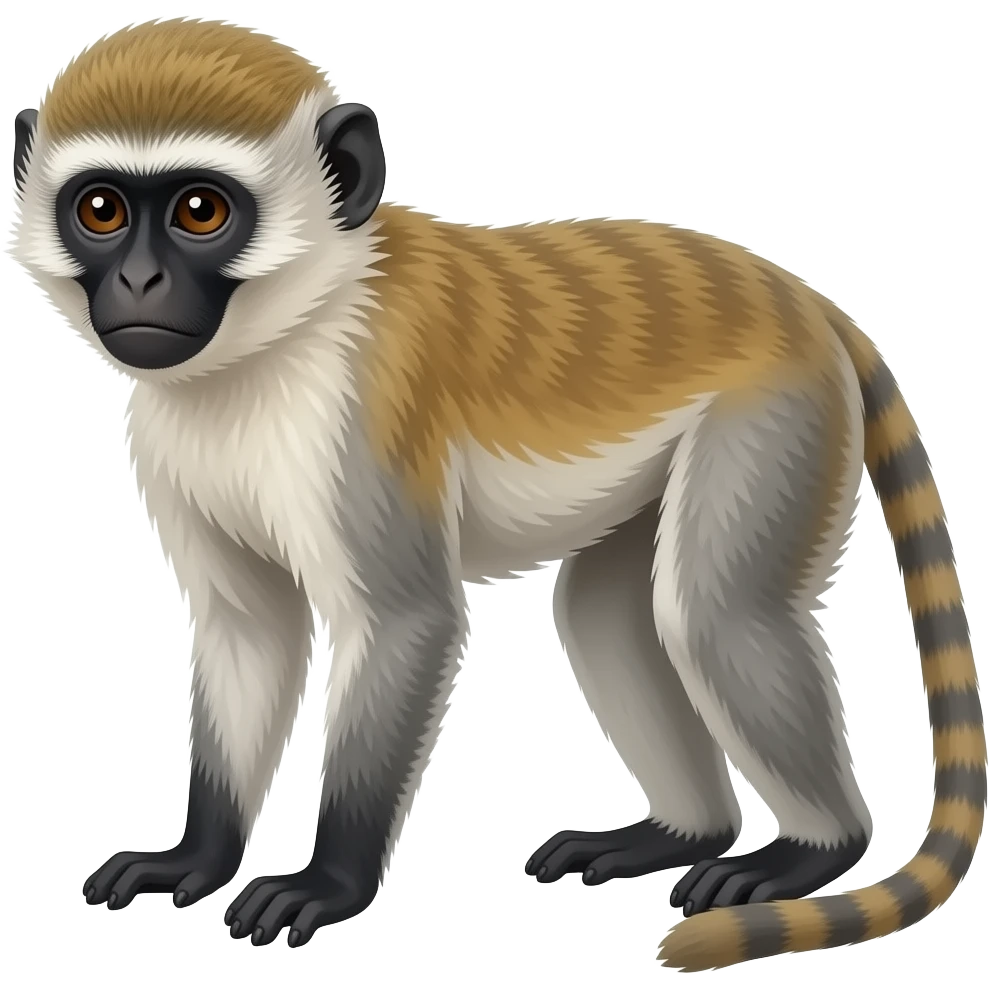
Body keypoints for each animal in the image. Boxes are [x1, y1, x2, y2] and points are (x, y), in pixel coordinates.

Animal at [7, 15, 985, 971]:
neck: (281, 336)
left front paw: (329, 882)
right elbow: (250, 625)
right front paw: (197, 856)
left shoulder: (363, 403)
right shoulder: (164, 431)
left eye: (199, 211)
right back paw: (682, 834)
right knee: (608, 611)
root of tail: (805, 301)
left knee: (715, 614)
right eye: (101, 210)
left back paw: (815, 850)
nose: (139, 281)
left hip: (780, 413)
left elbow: (405, 620)